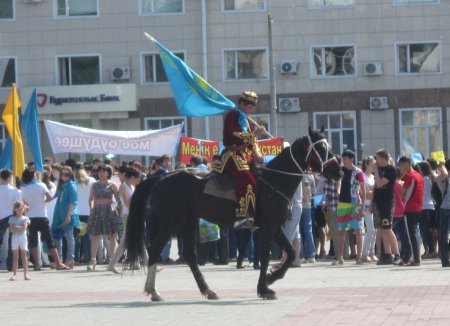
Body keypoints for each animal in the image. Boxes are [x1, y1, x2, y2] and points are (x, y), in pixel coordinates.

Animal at [123, 126, 342, 300]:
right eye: (321, 149)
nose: (338, 172)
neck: (274, 181)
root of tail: (161, 178)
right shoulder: (268, 227)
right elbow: (265, 257)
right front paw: (264, 288)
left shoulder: (275, 227)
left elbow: (290, 253)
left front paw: (272, 278)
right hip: (170, 221)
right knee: (155, 249)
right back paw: (154, 291)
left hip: (188, 220)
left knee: (190, 256)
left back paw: (207, 290)